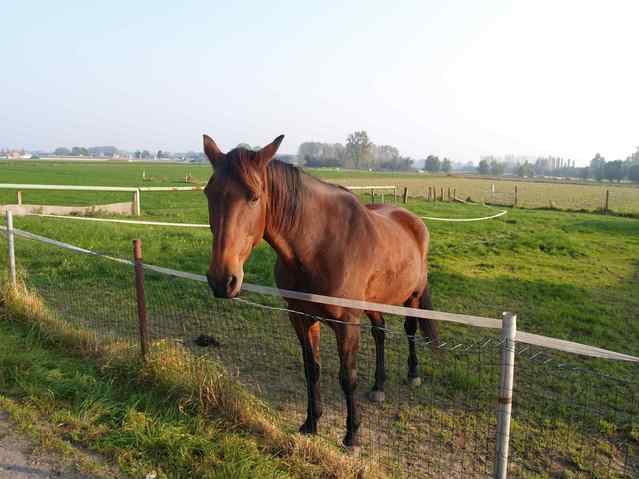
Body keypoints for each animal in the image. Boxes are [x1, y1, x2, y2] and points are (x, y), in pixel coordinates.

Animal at [202, 133, 438, 448]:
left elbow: (347, 377)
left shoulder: (346, 323)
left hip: (411, 296)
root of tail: (413, 220)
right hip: (375, 302)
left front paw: (352, 435)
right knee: (380, 333)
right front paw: (311, 423)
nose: (222, 279)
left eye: (253, 196)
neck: (319, 246)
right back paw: (378, 385)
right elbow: (311, 369)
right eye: (209, 193)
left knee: (410, 329)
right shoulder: (301, 317)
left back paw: (413, 374)